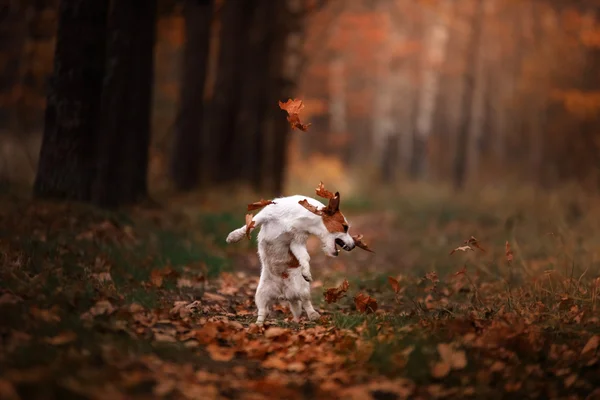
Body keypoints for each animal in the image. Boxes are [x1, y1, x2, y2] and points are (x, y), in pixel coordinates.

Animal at [227, 183, 372, 326]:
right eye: (345, 227)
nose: (353, 246)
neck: (298, 220)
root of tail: (284, 293)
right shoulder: (265, 215)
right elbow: (249, 225)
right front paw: (234, 236)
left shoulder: (297, 242)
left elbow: (304, 257)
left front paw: (306, 271)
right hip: (261, 294)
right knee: (263, 311)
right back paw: (258, 324)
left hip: (302, 289)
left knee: (305, 303)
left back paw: (312, 315)